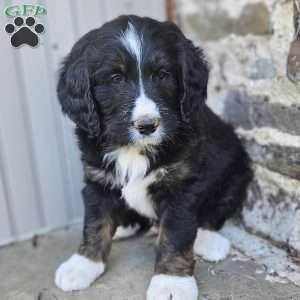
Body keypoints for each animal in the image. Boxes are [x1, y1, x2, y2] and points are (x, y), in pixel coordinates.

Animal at [54, 14, 253, 300]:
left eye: (163, 75)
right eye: (116, 78)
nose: (147, 125)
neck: (133, 149)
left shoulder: (181, 188)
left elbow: (175, 236)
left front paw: (171, 282)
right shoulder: (97, 180)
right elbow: (94, 224)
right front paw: (83, 265)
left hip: (237, 171)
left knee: (216, 211)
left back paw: (208, 240)